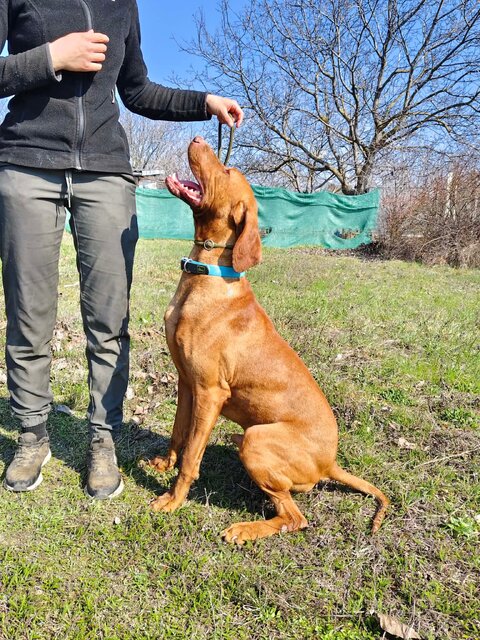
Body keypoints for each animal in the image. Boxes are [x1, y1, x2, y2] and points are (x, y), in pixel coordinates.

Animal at [148, 136, 389, 544]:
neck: (207, 273)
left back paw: (245, 529)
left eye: (227, 170)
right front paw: (164, 464)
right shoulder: (186, 382)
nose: (197, 138)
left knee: (295, 517)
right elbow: (179, 433)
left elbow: (193, 455)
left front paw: (173, 499)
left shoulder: (210, 392)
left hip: (259, 441)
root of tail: (331, 462)